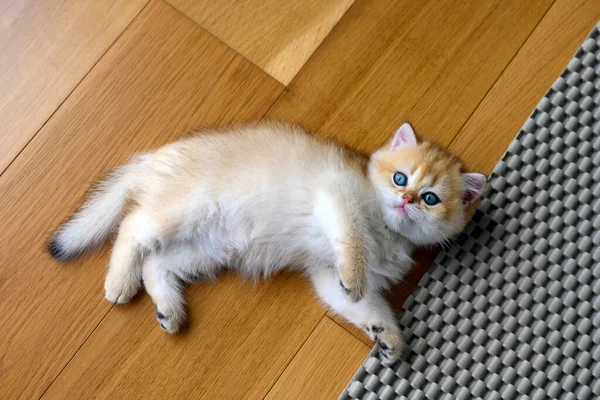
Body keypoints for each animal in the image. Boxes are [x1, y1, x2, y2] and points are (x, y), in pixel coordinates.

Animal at [48, 121, 488, 366]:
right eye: (400, 179)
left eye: (430, 198)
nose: (406, 199)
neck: (387, 230)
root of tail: (155, 158)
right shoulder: (337, 197)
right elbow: (352, 242)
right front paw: (357, 276)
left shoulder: (324, 274)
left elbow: (363, 306)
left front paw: (388, 337)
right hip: (186, 208)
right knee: (133, 226)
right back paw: (119, 283)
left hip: (208, 248)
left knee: (157, 262)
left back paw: (169, 310)